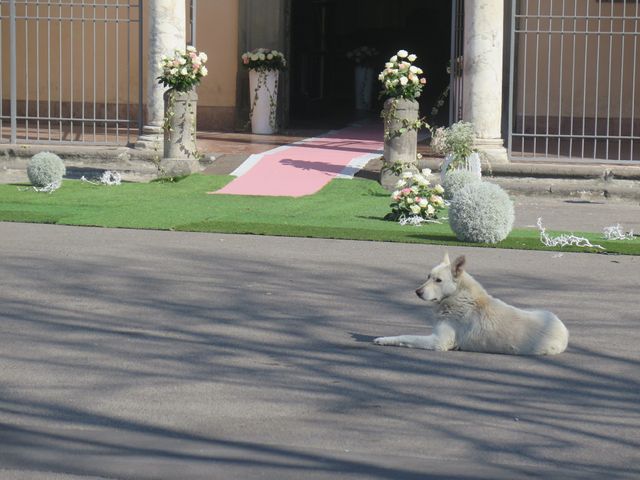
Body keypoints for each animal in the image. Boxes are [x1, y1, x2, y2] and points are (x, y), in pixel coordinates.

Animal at [372, 253, 568, 354]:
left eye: (438, 280)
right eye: (427, 277)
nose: (417, 292)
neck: (458, 297)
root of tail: (565, 331)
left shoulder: (438, 342)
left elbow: (405, 336)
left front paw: (383, 339)